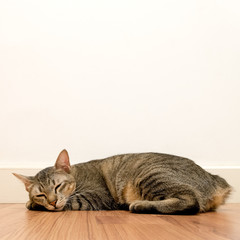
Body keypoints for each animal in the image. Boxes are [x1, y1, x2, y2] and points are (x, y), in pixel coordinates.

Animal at [12, 150, 231, 214]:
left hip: (150, 174)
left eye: (57, 186)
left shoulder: (96, 196)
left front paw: (32, 204)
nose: (51, 201)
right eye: (41, 193)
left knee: (190, 201)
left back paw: (139, 205)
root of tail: (214, 177)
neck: (78, 174)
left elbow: (71, 202)